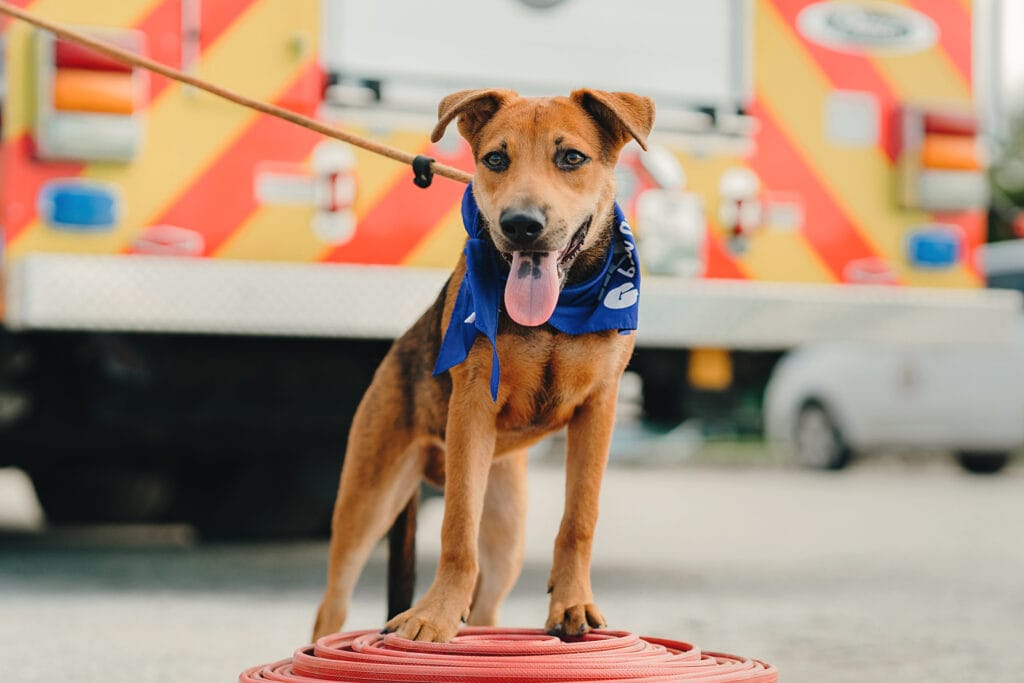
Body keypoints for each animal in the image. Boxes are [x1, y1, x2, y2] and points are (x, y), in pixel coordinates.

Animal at [311, 88, 655, 643]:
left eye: (571, 158)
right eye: (495, 159)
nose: (521, 226)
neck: (557, 313)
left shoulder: (598, 408)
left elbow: (579, 518)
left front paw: (573, 604)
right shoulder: (472, 406)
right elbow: (456, 529)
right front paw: (434, 614)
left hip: (506, 527)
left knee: (489, 606)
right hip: (367, 502)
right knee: (332, 608)